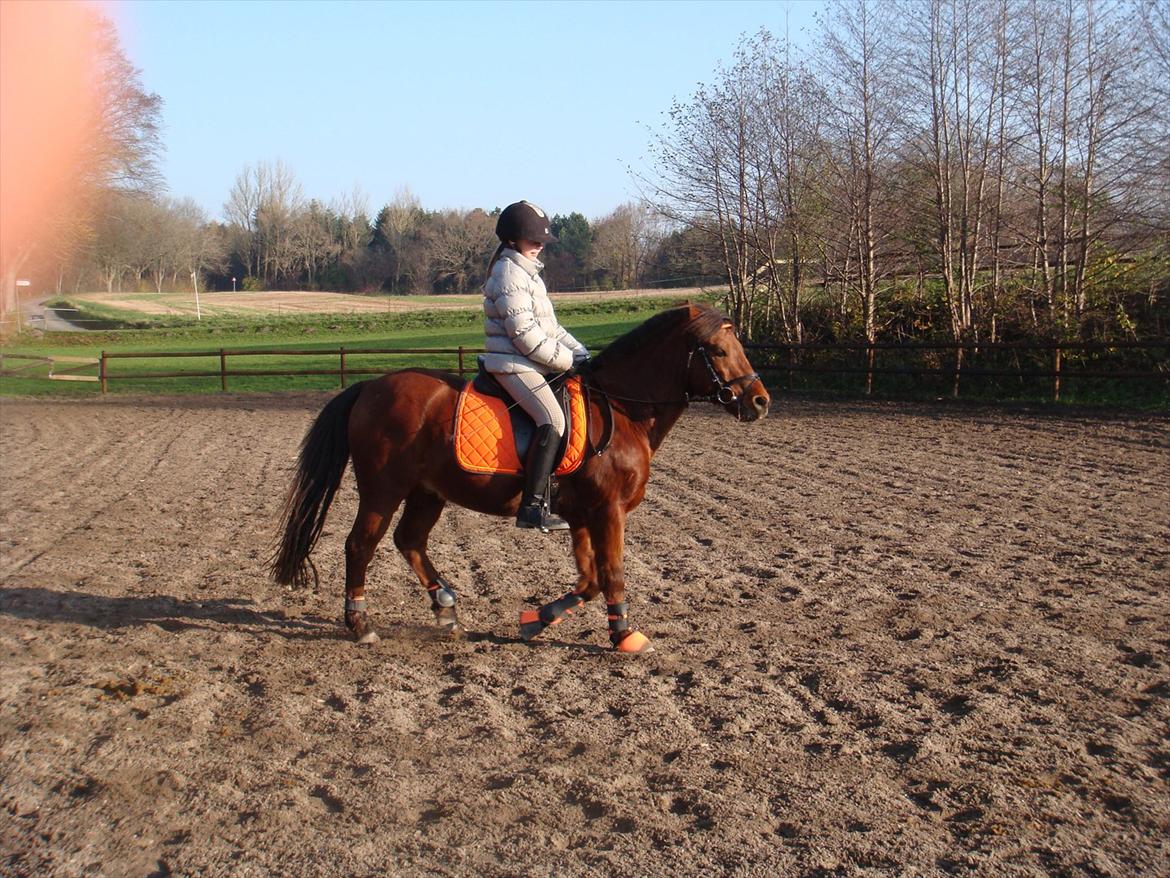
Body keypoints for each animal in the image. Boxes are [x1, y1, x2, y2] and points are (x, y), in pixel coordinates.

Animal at [269, 302, 772, 655]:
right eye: (718, 350)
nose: (760, 401)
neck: (622, 408)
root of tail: (368, 387)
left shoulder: (583, 515)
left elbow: (589, 579)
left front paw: (538, 619)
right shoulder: (608, 512)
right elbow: (612, 574)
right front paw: (625, 635)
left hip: (428, 493)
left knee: (409, 541)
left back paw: (446, 609)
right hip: (383, 490)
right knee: (360, 546)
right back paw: (361, 625)